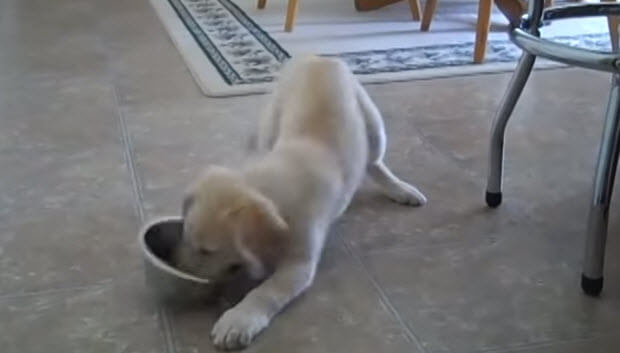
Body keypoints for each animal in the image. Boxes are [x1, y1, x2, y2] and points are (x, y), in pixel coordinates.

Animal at [177, 55, 424, 350]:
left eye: (207, 251)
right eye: (186, 239)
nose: (185, 279)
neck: (270, 186)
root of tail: (317, 57)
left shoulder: (300, 263)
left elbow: (267, 292)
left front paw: (239, 319)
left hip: (375, 128)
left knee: (374, 162)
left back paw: (401, 189)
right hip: (273, 120)